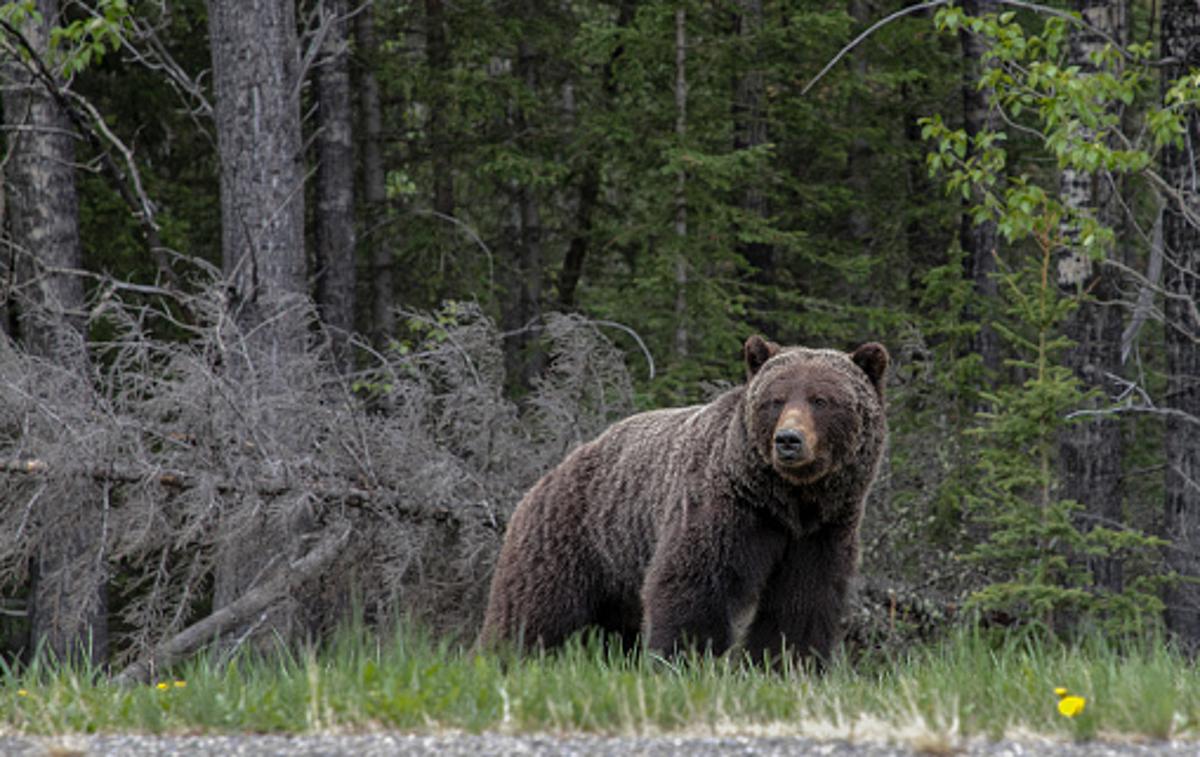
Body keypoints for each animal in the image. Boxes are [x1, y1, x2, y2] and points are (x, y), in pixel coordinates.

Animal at [480, 333, 892, 667]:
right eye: (774, 400)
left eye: (821, 400)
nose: (788, 440)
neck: (788, 501)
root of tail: (548, 476)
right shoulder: (728, 509)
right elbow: (694, 583)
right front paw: (683, 659)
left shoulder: (821, 531)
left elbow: (802, 601)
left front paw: (787, 664)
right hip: (571, 537)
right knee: (531, 610)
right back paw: (503, 659)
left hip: (616, 570)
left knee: (614, 627)